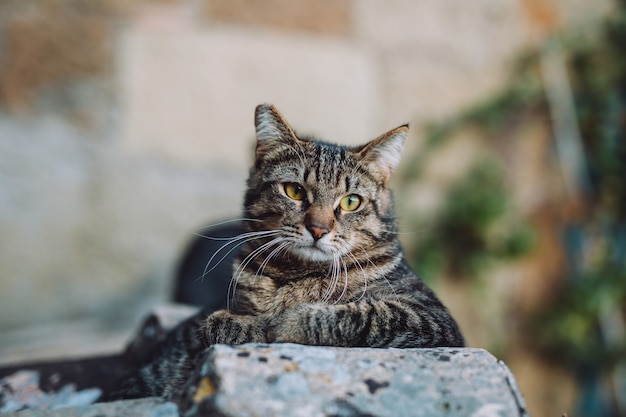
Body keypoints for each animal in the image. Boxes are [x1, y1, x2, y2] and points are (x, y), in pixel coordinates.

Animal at [103, 104, 464, 400]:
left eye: (351, 201)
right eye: (294, 191)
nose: (318, 229)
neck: (291, 277)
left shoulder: (429, 316)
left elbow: (359, 315)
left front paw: (282, 322)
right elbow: (216, 325)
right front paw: (245, 323)